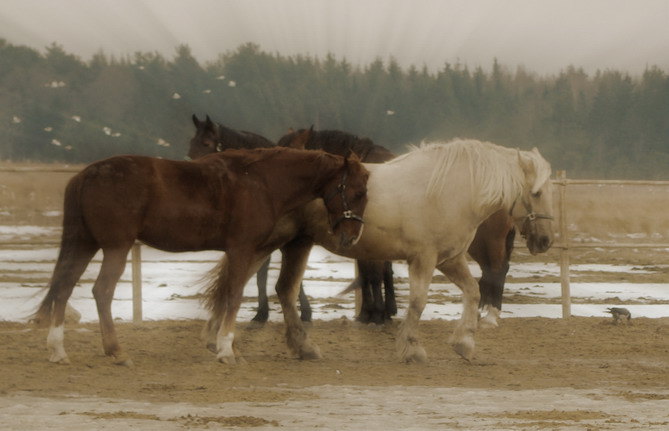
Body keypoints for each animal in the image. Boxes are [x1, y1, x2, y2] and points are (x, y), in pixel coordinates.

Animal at [34, 148, 368, 364]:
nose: (352, 236)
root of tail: (86, 176)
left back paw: (57, 350)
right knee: (101, 291)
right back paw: (115, 350)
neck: (262, 181)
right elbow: (234, 295)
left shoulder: (251, 250)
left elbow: (227, 293)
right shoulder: (242, 248)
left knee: (63, 289)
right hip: (116, 247)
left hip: (83, 244)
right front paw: (226, 350)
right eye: (357, 192)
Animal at [205, 139, 552, 364]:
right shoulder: (424, 259)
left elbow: (472, 292)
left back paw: (294, 346)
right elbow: (418, 303)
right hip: (267, 244)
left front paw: (464, 342)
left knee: (279, 290)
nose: (546, 240)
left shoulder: (449, 260)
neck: (452, 191)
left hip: (295, 244)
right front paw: (412, 348)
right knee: (242, 286)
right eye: (536, 193)